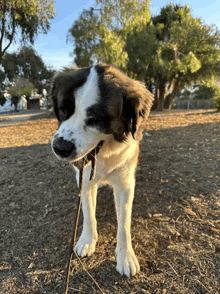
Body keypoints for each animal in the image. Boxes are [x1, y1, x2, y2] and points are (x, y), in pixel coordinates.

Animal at [50, 63, 153, 276]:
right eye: (63, 110)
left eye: (96, 119)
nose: (60, 147)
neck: (104, 151)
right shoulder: (85, 181)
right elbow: (88, 212)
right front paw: (87, 240)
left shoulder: (125, 185)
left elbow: (124, 223)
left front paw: (126, 256)